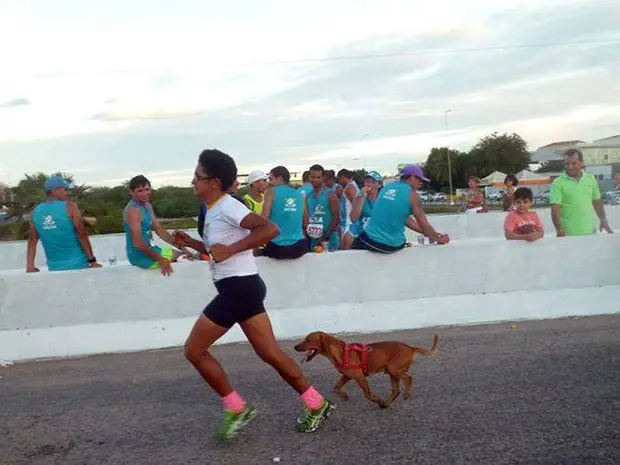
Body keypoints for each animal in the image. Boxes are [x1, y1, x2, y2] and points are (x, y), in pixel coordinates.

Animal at [294, 332, 438, 408]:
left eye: (308, 339)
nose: (295, 347)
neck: (340, 352)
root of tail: (411, 348)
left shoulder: (360, 377)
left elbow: (368, 395)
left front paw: (376, 399)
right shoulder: (346, 376)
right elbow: (336, 387)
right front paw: (344, 395)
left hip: (394, 370)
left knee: (409, 378)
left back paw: (406, 394)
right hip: (392, 372)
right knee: (396, 391)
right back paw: (385, 404)